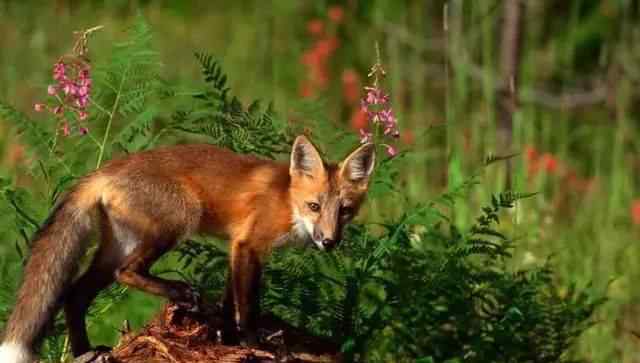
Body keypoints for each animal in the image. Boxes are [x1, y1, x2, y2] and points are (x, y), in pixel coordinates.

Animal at [0, 136, 378, 362]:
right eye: (314, 206)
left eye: (345, 211)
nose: (329, 241)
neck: (287, 201)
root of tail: (104, 170)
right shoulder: (248, 245)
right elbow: (248, 306)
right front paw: (254, 344)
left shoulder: (235, 249)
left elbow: (228, 305)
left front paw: (228, 341)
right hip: (180, 217)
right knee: (126, 272)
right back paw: (178, 291)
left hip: (115, 247)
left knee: (75, 295)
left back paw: (86, 351)